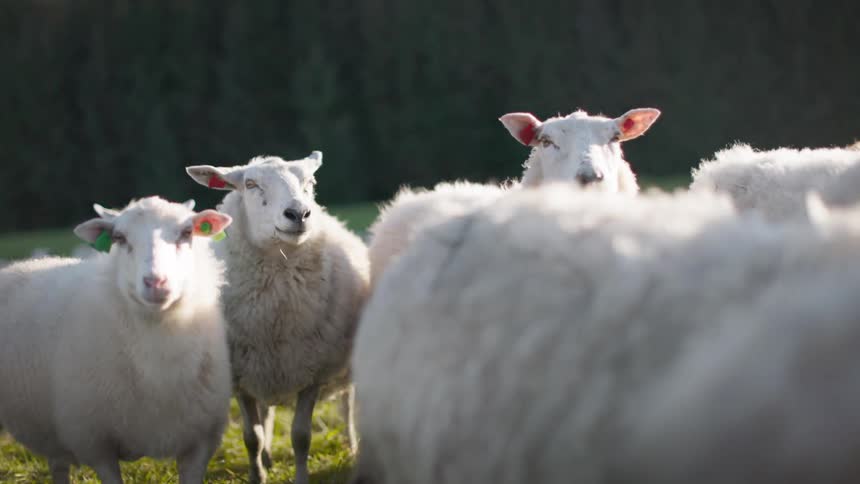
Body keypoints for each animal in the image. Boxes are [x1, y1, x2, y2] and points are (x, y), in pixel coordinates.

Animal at [185, 151, 370, 484]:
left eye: (310, 182)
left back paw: (352, 446)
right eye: (250, 183)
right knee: (266, 413)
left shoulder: (313, 371)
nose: (299, 214)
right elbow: (251, 437)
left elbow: (301, 437)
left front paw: (301, 477)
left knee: (347, 404)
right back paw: (268, 458)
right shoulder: (240, 376)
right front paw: (257, 475)